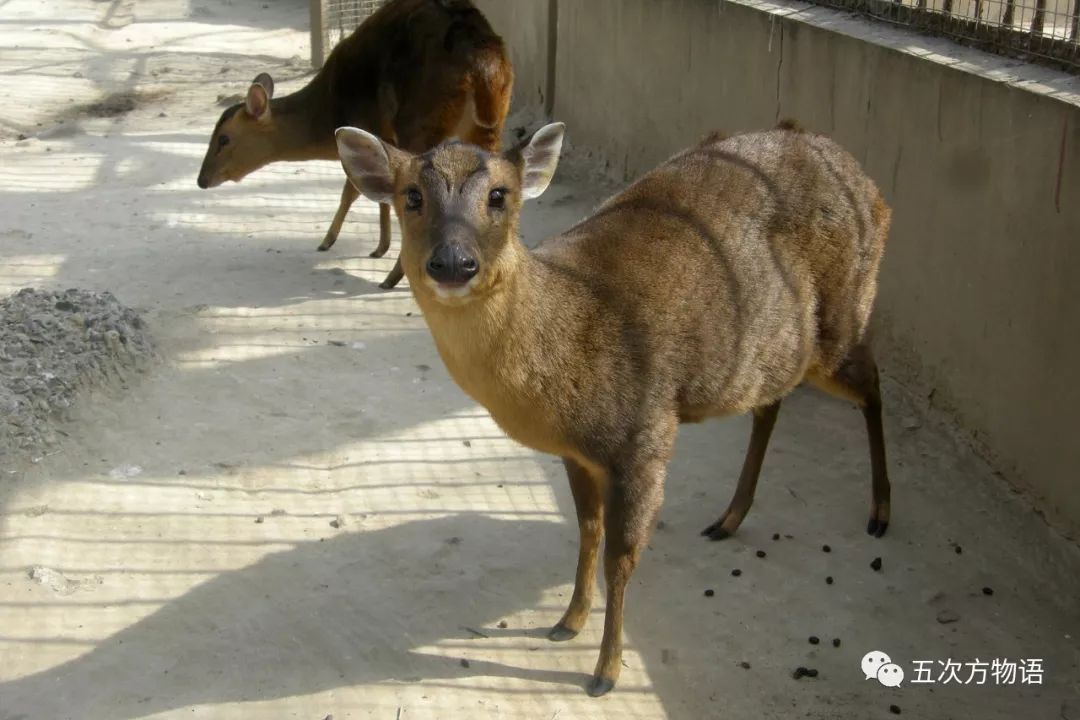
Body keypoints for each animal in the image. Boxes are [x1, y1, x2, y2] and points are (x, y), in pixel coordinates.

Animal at [195, 0, 514, 287]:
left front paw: (327, 241)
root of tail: (484, 65)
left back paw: (392, 278)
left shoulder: (364, 127)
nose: (201, 179)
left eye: (223, 138)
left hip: (421, 125)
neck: (327, 112)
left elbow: (351, 190)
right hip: (488, 128)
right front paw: (379, 247)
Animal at [336, 120, 894, 695]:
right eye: (412, 195)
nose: (452, 262)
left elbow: (620, 559)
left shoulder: (645, 438)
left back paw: (879, 512)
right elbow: (588, 530)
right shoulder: (577, 454)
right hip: (775, 353)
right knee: (772, 404)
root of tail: (866, 183)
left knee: (872, 383)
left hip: (841, 320)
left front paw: (605, 672)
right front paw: (568, 622)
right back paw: (730, 517)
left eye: (499, 195)